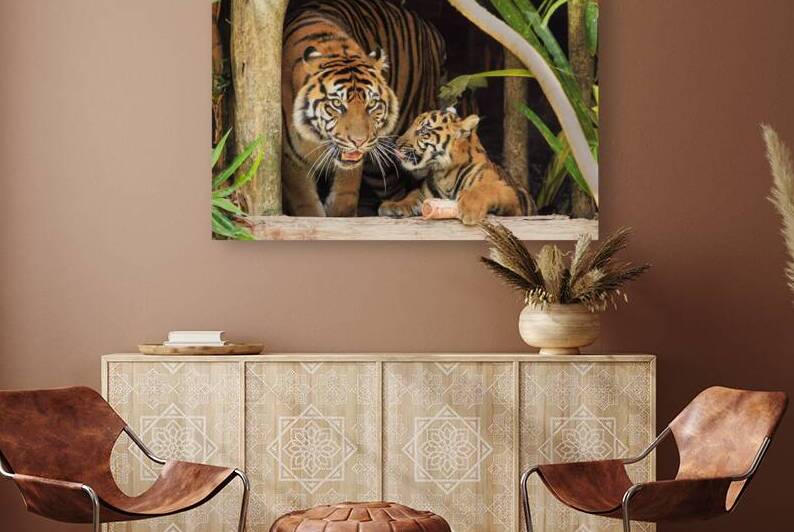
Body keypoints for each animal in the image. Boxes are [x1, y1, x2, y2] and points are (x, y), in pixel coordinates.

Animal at [281, 0, 446, 217]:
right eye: (337, 104)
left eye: (372, 104)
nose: (359, 142)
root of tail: (428, 25)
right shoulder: (291, 160)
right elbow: (306, 206)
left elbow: (345, 197)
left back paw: (403, 205)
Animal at [379, 108, 536, 225]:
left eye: (423, 131)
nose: (396, 145)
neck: (444, 174)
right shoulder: (426, 194)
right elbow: (412, 195)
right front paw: (393, 205)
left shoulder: (509, 194)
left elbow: (484, 189)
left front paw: (470, 209)